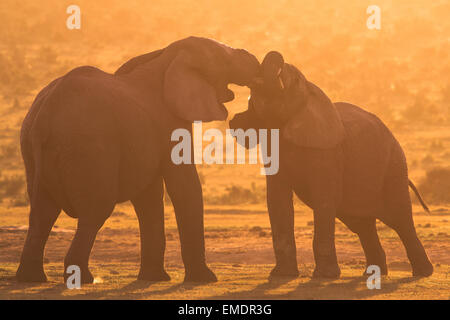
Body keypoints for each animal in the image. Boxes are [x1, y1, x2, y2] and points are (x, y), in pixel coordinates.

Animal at [16, 36, 260, 284]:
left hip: (32, 146)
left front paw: (155, 278)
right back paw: (84, 279)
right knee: (95, 210)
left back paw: (32, 278)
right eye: (222, 58)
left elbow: (148, 196)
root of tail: (45, 114)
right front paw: (206, 279)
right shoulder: (169, 121)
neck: (168, 54)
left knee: (43, 212)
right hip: (89, 146)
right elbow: (183, 185)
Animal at [230, 51, 434, 278]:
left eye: (292, 81)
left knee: (400, 219)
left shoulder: (328, 151)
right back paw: (373, 274)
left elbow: (324, 198)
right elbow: (277, 200)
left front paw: (324, 276)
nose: (277, 54)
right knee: (362, 224)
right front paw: (282, 275)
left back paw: (423, 273)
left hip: (394, 166)